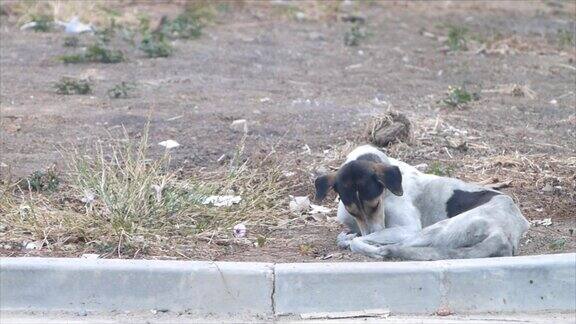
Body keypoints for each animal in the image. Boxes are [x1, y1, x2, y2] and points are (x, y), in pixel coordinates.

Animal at [316, 145, 532, 260]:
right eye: (353, 212)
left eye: (375, 205)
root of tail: (505, 234)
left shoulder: (406, 228)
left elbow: (361, 238)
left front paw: (352, 239)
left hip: (432, 230)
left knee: (382, 247)